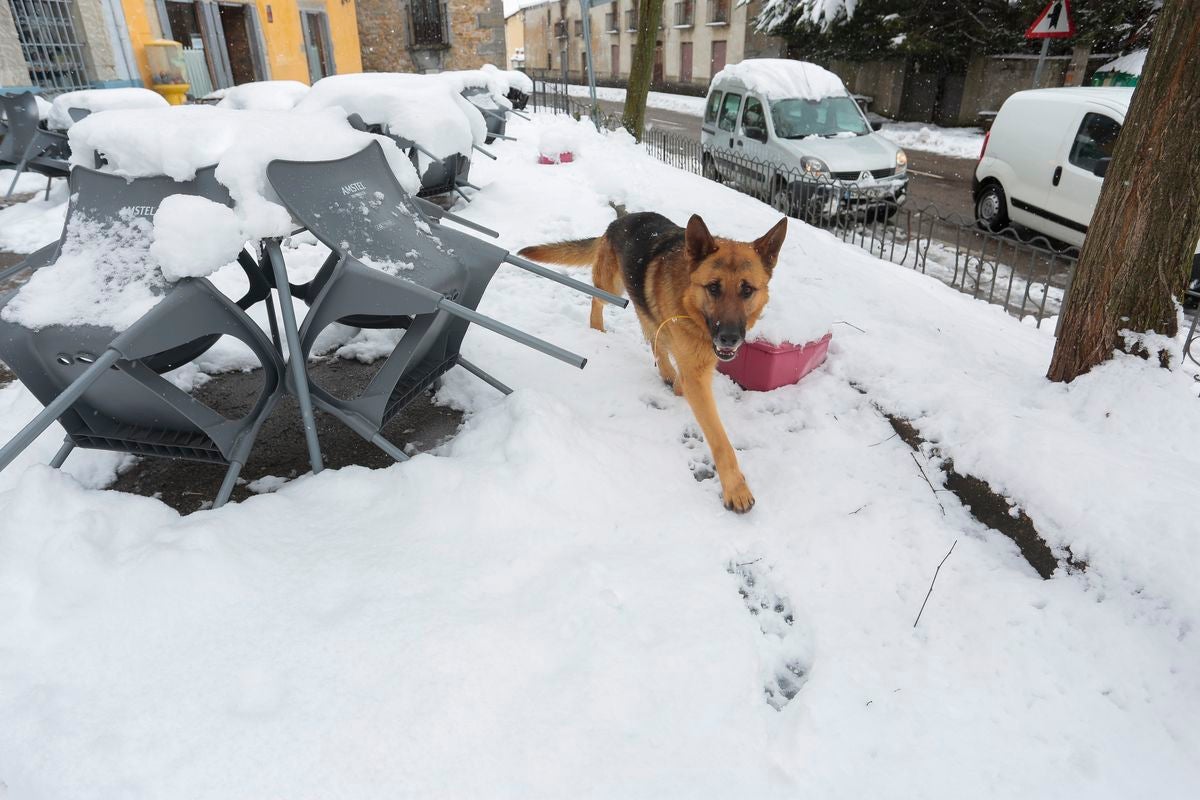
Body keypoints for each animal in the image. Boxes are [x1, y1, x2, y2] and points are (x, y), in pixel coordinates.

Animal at [518, 212, 787, 513]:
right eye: (713, 288)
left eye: (747, 290)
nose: (729, 338)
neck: (690, 304)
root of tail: (622, 218)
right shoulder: (696, 378)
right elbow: (720, 440)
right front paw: (736, 488)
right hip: (611, 287)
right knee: (598, 303)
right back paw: (598, 330)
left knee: (652, 334)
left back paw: (668, 373)